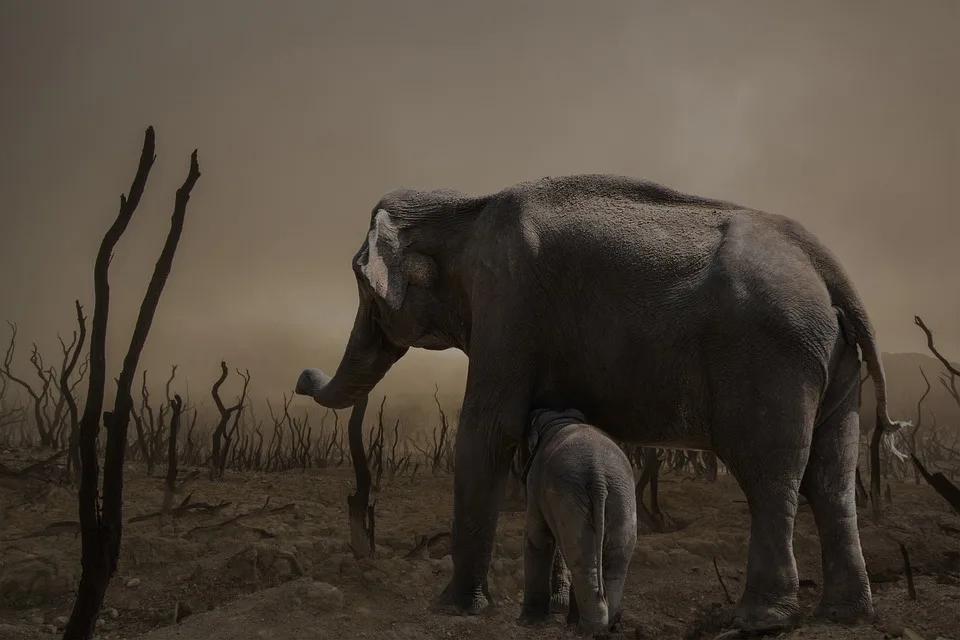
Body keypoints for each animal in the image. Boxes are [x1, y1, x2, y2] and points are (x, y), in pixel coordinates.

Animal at [516, 408, 636, 632]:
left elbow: (537, 537)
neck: (559, 419)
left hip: (572, 496)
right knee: (616, 559)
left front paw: (527, 622)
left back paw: (588, 629)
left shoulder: (535, 482)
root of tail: (599, 477)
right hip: (621, 496)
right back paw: (607, 624)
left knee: (582, 561)